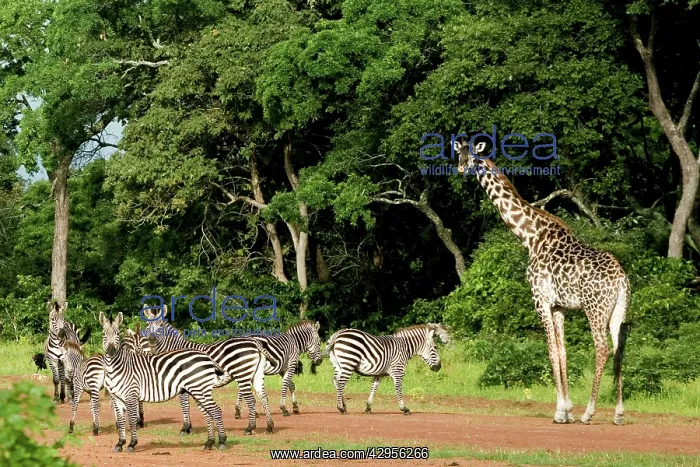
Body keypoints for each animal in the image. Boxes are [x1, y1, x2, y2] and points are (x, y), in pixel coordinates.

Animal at [100, 312, 227, 452]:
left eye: (117, 334)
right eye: (103, 334)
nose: (111, 352)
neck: (117, 367)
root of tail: (207, 357)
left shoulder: (131, 394)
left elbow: (132, 419)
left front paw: (132, 444)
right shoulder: (116, 397)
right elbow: (122, 421)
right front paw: (120, 443)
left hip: (200, 389)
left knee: (216, 410)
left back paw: (222, 441)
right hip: (198, 390)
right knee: (208, 413)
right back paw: (209, 443)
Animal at [143, 306, 278, 434]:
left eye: (161, 325)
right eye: (148, 325)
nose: (152, 341)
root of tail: (254, 342)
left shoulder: (180, 381)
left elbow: (184, 404)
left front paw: (185, 428)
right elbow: (187, 405)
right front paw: (188, 427)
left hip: (242, 374)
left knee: (251, 400)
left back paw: (250, 428)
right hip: (257, 374)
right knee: (263, 397)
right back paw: (269, 426)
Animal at [454, 140, 630, 425]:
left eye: (473, 156)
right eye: (458, 152)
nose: (460, 168)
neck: (529, 236)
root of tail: (622, 280)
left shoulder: (540, 300)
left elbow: (550, 352)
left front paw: (561, 412)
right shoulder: (559, 307)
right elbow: (562, 352)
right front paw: (566, 410)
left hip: (595, 309)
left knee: (602, 348)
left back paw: (589, 413)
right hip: (618, 310)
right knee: (618, 349)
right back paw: (618, 413)